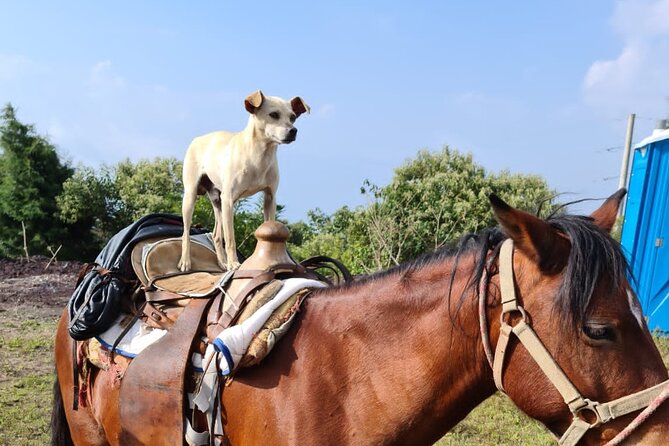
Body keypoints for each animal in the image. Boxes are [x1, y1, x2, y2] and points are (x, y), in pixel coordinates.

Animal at [180, 89, 310, 272]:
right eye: (274, 115)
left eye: (292, 117)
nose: (293, 130)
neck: (259, 155)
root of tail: (198, 139)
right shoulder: (229, 200)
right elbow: (231, 238)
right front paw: (234, 263)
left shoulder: (270, 197)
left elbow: (268, 226)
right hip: (192, 196)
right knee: (186, 232)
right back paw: (186, 261)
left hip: (218, 201)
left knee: (216, 235)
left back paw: (222, 263)